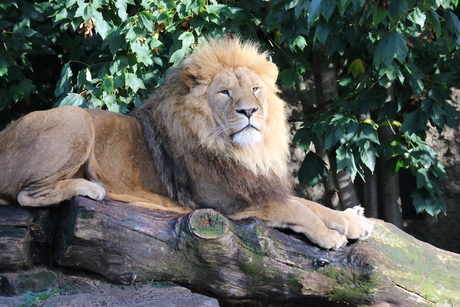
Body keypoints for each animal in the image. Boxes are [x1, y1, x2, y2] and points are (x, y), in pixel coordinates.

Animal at [0, 38, 374, 250]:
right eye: (225, 92)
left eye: (255, 89)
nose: (249, 111)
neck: (241, 150)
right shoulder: (229, 203)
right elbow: (299, 210)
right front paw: (331, 237)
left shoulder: (257, 186)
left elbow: (313, 205)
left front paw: (354, 221)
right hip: (75, 118)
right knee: (26, 195)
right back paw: (92, 188)